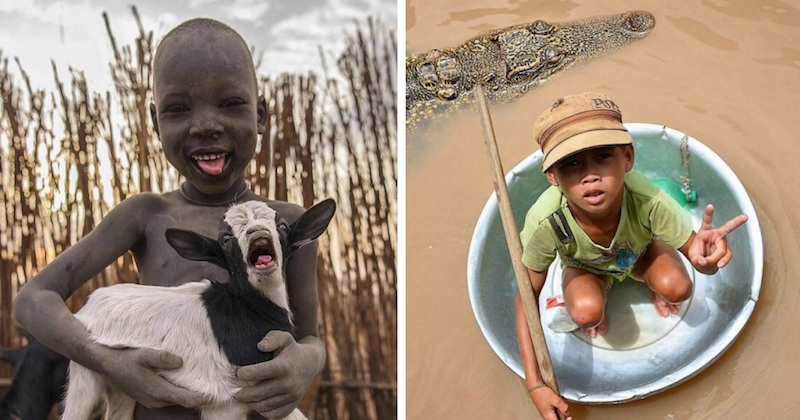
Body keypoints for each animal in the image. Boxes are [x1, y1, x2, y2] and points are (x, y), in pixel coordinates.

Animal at [61, 200, 334, 420]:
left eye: (283, 227)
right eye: (225, 239)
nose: (257, 231)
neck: (249, 311)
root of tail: (89, 302)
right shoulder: (225, 401)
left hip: (122, 385)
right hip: (86, 373)